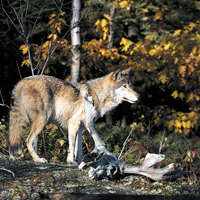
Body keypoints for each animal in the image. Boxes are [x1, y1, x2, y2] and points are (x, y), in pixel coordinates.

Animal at [9, 67, 139, 164]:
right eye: (124, 86)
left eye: (130, 85)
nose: (138, 96)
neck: (98, 95)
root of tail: (22, 81)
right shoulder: (75, 123)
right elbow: (72, 147)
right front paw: (72, 162)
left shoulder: (80, 129)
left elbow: (78, 149)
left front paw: (80, 163)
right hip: (41, 121)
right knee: (28, 140)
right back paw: (38, 160)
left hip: (25, 121)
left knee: (16, 136)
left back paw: (17, 155)